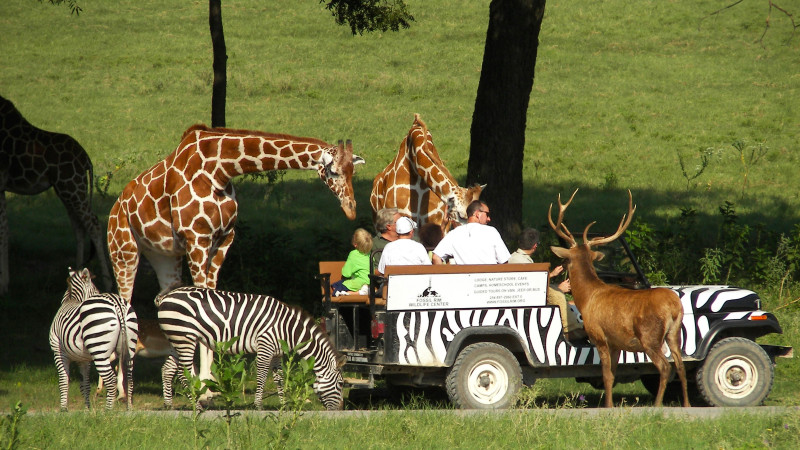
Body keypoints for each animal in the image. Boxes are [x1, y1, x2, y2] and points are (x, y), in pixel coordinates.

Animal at [0, 95, 114, 296]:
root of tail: (87, 159)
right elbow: (5, 229)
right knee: (79, 226)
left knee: (92, 223)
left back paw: (107, 283)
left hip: (72, 187)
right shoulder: (3, 185)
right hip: (66, 189)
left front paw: (2, 284)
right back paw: (77, 274)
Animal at [48, 268, 138, 410]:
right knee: (129, 378)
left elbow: (63, 381)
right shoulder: (84, 359)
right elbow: (85, 384)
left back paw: (108, 411)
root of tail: (117, 303)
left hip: (99, 349)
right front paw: (87, 409)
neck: (71, 300)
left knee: (111, 380)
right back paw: (129, 408)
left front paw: (63, 409)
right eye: (96, 290)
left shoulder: (58, 351)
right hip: (130, 345)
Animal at [155, 286, 344, 410]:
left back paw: (168, 404)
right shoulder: (265, 346)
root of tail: (166, 296)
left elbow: (279, 378)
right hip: (185, 337)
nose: (340, 409)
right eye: (341, 383)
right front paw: (258, 405)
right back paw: (197, 405)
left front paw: (283, 404)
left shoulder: (277, 353)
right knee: (183, 372)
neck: (288, 329)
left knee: (167, 369)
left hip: (176, 339)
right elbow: (262, 375)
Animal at [548, 190, 692, 408]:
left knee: (665, 367)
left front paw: (608, 406)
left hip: (649, 336)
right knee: (681, 366)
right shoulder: (616, 343)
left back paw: (657, 404)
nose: (560, 266)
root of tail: (674, 307)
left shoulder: (599, 336)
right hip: (674, 334)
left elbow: (606, 375)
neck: (587, 298)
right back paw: (687, 404)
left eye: (566, 258)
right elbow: (613, 374)